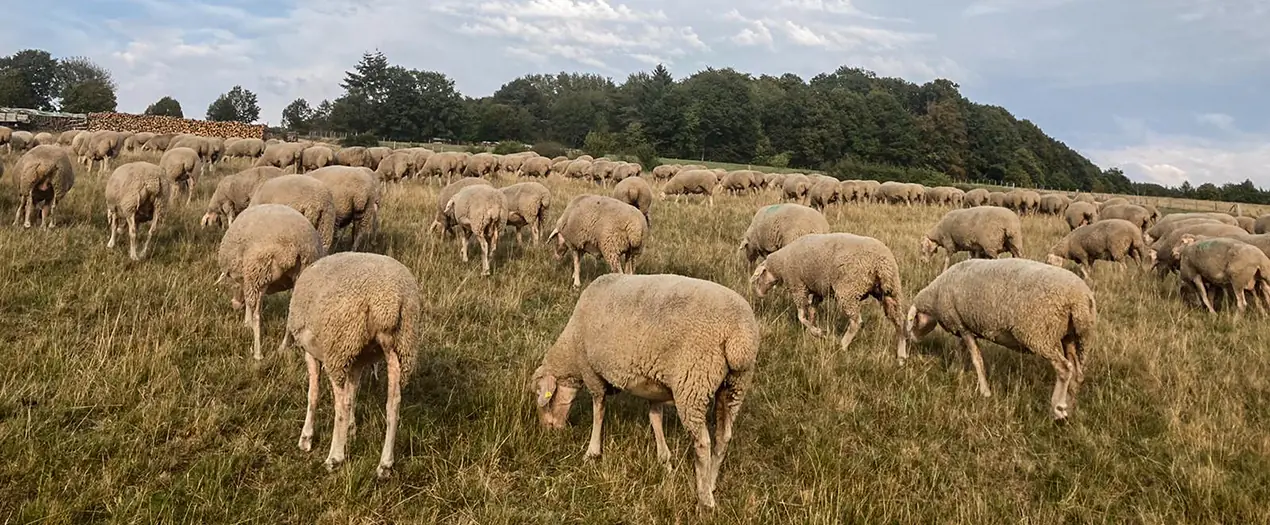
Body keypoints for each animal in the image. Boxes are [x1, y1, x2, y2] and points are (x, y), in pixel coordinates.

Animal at [215, 204, 325, 360]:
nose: (235, 305)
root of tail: (295, 246)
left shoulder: (249, 278)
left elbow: (250, 305)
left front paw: (247, 324)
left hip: (260, 271)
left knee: (258, 315)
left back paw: (258, 354)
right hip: (301, 276)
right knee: (291, 315)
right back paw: (282, 348)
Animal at [279, 252, 420, 479]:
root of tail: (388, 303)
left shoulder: (313, 353)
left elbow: (314, 395)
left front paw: (307, 437)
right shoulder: (358, 359)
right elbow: (353, 392)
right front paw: (352, 430)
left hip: (339, 345)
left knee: (342, 404)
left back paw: (334, 457)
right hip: (400, 345)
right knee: (393, 404)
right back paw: (385, 465)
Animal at [530, 273, 758, 509]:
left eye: (540, 396)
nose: (547, 431)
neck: (572, 349)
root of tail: (739, 337)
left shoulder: (591, 372)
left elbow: (598, 410)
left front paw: (592, 452)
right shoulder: (654, 386)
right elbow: (654, 417)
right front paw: (664, 460)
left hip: (693, 383)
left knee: (703, 443)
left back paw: (704, 499)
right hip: (735, 385)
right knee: (723, 437)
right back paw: (711, 483)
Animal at [751, 233, 905, 355]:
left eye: (759, 276)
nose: (758, 294)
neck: (781, 264)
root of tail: (880, 262)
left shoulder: (798, 287)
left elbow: (801, 316)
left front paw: (819, 333)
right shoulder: (817, 290)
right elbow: (812, 311)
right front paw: (813, 332)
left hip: (848, 290)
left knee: (856, 322)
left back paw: (842, 345)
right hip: (890, 290)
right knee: (899, 321)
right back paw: (901, 355)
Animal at [906, 258, 1096, 420]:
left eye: (913, 320)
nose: (911, 339)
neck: (936, 296)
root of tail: (1081, 298)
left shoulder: (962, 327)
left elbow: (976, 359)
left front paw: (985, 391)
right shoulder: (963, 325)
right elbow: (961, 351)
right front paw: (955, 371)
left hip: (1040, 335)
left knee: (1064, 369)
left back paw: (1057, 410)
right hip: (1071, 336)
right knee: (1077, 372)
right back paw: (1069, 406)